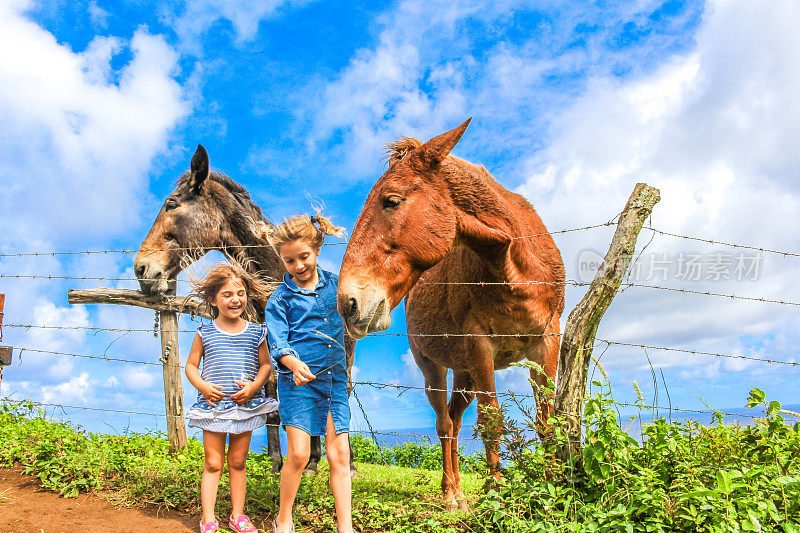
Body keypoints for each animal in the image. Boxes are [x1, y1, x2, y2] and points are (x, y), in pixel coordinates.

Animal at [338, 118, 564, 510]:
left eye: (391, 201)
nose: (348, 303)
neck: (512, 265)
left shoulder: (546, 340)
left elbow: (546, 420)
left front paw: (551, 492)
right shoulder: (480, 343)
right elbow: (491, 421)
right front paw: (496, 496)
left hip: (466, 372)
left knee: (455, 420)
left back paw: (459, 488)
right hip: (435, 367)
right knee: (444, 423)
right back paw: (451, 493)